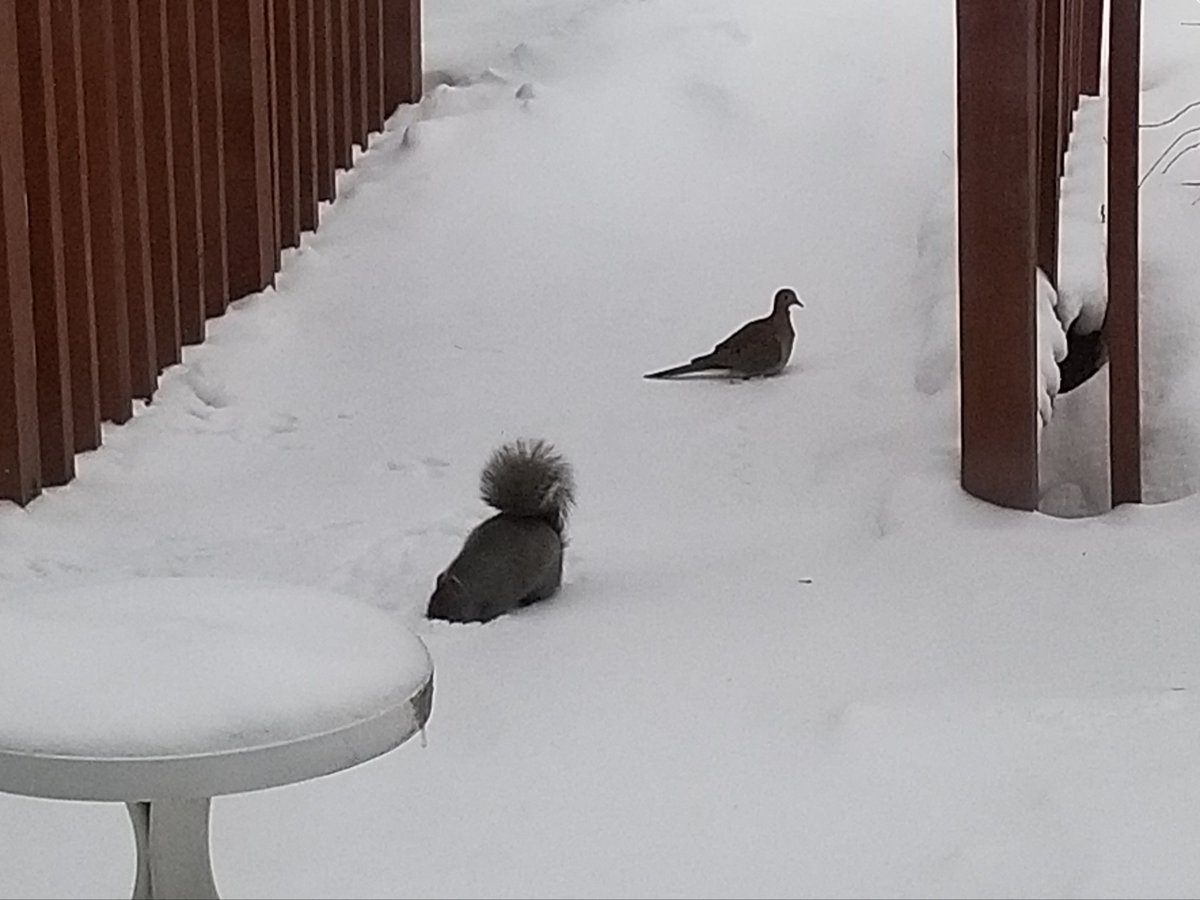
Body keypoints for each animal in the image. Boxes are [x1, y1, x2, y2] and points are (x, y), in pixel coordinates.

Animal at [427, 438, 576, 623]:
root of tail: (549, 526)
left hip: (546, 578)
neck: (472, 586)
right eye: (432, 597)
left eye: (450, 604)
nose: (431, 616)